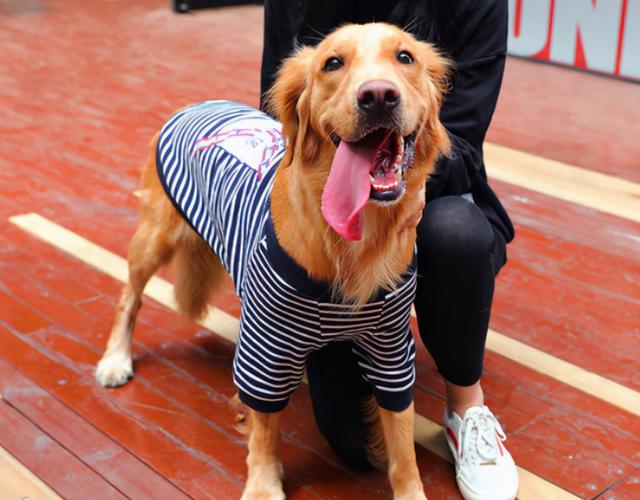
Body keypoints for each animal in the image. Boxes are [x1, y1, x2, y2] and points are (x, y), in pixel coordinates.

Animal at [95, 21, 450, 498]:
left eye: (405, 57)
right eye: (332, 63)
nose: (378, 96)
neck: (353, 239)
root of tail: (200, 103)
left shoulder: (390, 345)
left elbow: (401, 437)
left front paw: (409, 487)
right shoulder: (267, 347)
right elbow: (265, 425)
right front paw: (264, 482)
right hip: (153, 239)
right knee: (128, 299)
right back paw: (116, 358)